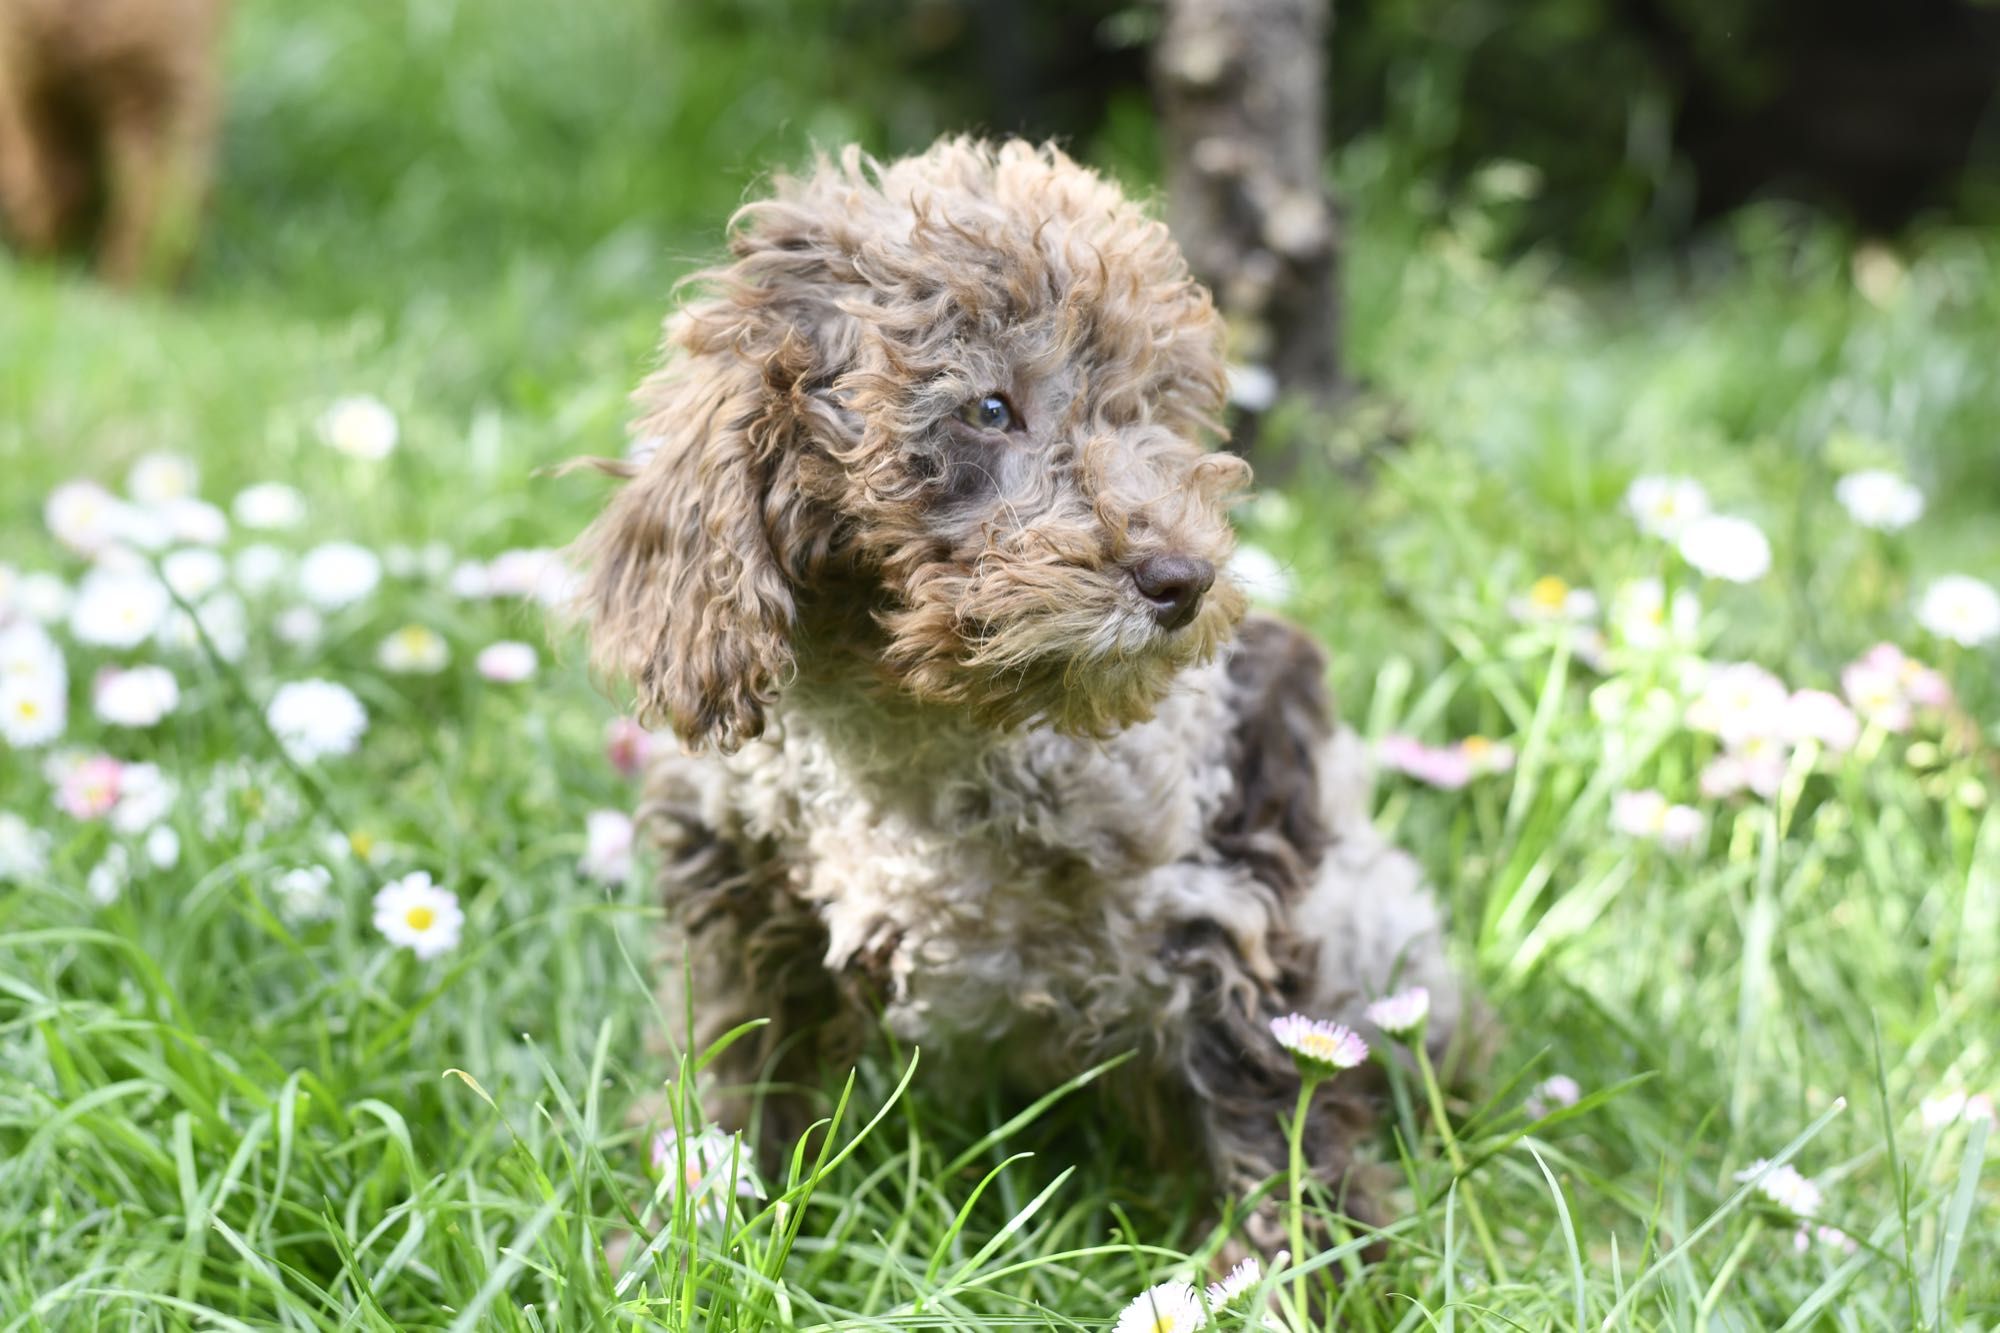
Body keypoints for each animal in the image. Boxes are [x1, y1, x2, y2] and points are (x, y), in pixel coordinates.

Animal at [572, 137, 1464, 1256]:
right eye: (989, 408)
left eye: (1150, 409)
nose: (1183, 581)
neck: (918, 726)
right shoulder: (737, 900)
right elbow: (731, 1092)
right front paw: (682, 1239)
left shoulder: (1221, 908)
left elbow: (1277, 1121)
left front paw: (1301, 1273)